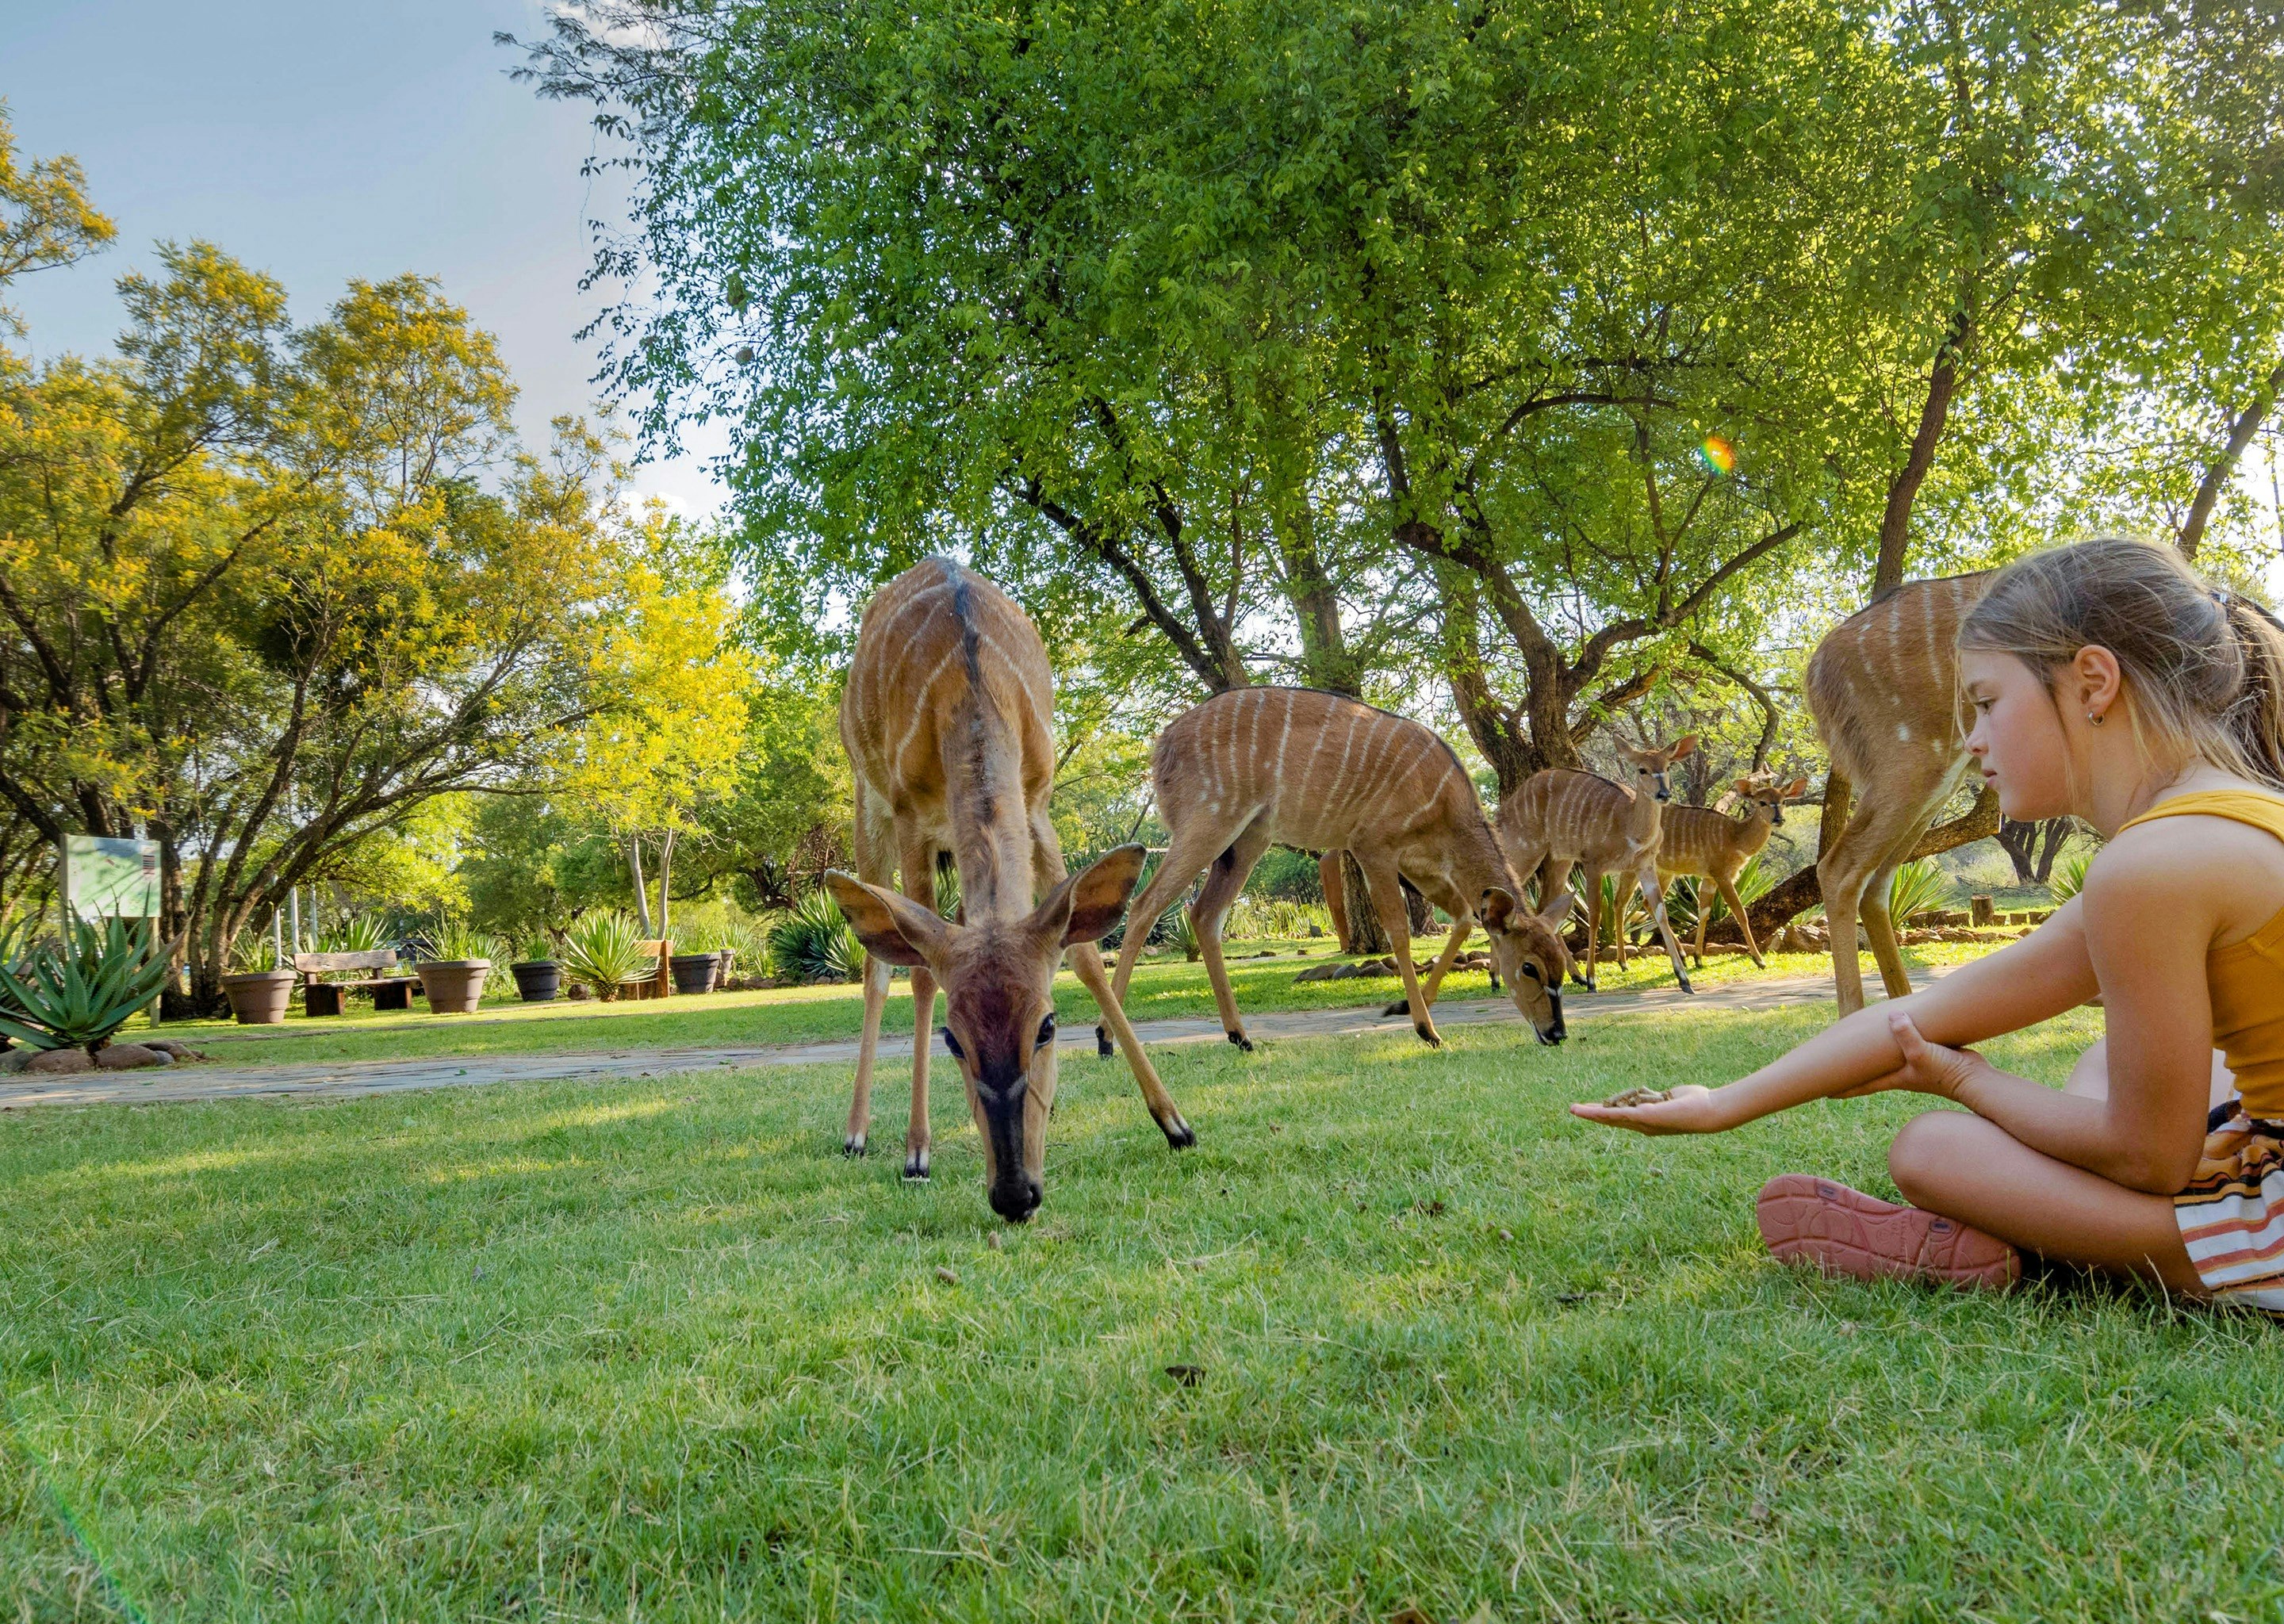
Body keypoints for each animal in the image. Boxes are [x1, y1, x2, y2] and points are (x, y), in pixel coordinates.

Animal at [825, 558, 1194, 1223]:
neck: (967, 685)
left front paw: (1174, 1121)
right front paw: (917, 1154)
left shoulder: (1038, 801)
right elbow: (922, 977)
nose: (1015, 1194)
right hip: (868, 806)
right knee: (878, 967)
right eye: (952, 1038)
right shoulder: (910, 815)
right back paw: (858, 1134)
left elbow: (1084, 956)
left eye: (1048, 1025)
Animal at [1105, 687, 1576, 1052]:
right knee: (1146, 904)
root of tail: (1162, 745)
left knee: (1205, 915)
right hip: (1209, 822)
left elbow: (1462, 918)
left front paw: (1403, 1008)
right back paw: (1107, 1039)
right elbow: (1399, 930)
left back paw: (1241, 1036)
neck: (1445, 803)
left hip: (1248, 840)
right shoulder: (1373, 848)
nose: (1556, 1032)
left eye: (1560, 965)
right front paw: (1426, 1029)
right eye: (1529, 967)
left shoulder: (1423, 868)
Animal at [1497, 737, 1699, 994]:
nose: (1664, 794)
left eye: (1668, 766)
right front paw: (1592, 978)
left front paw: (1684, 978)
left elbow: (1660, 911)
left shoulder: (1644, 866)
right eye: (1642, 769)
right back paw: (1497, 980)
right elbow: (1595, 915)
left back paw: (1573, 976)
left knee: (1544, 906)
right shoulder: (1593, 864)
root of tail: (1504, 810)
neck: (1630, 826)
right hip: (1526, 851)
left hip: (1559, 859)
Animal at [1655, 772, 1810, 969]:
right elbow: (1740, 914)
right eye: (1762, 802)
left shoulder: (1709, 878)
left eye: (1783, 801)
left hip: (1664, 872)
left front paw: (1698, 958)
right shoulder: (1723, 876)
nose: (1779, 820)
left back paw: (1682, 955)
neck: (1735, 836)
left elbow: (1703, 913)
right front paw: (1759, 960)